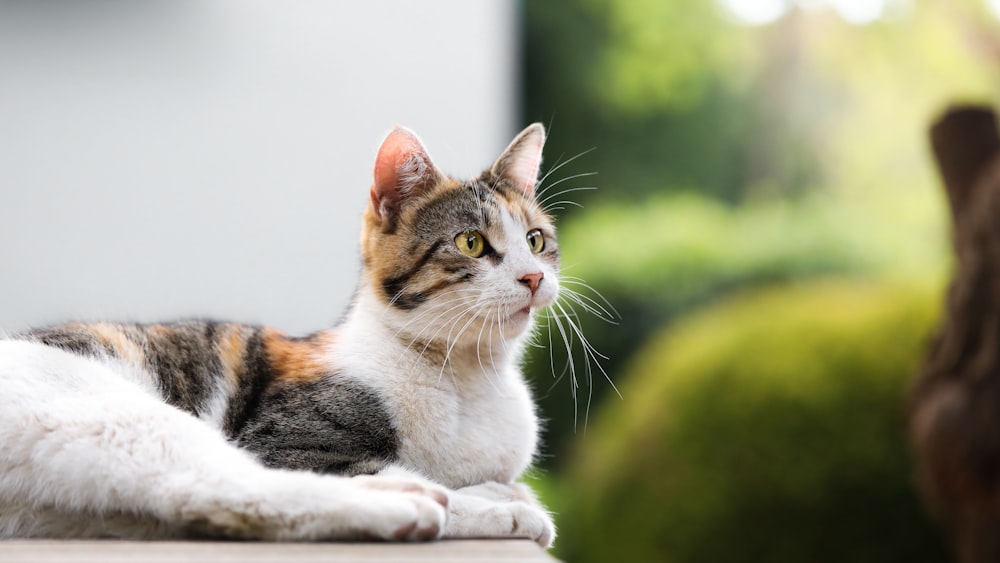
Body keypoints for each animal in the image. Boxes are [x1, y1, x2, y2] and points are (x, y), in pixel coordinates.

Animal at [0, 123, 560, 548]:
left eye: (536, 241)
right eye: (472, 243)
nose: (533, 277)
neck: (468, 377)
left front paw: (499, 491)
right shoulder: (284, 439)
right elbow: (363, 468)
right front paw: (500, 505)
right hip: (119, 417)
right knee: (227, 486)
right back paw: (413, 508)